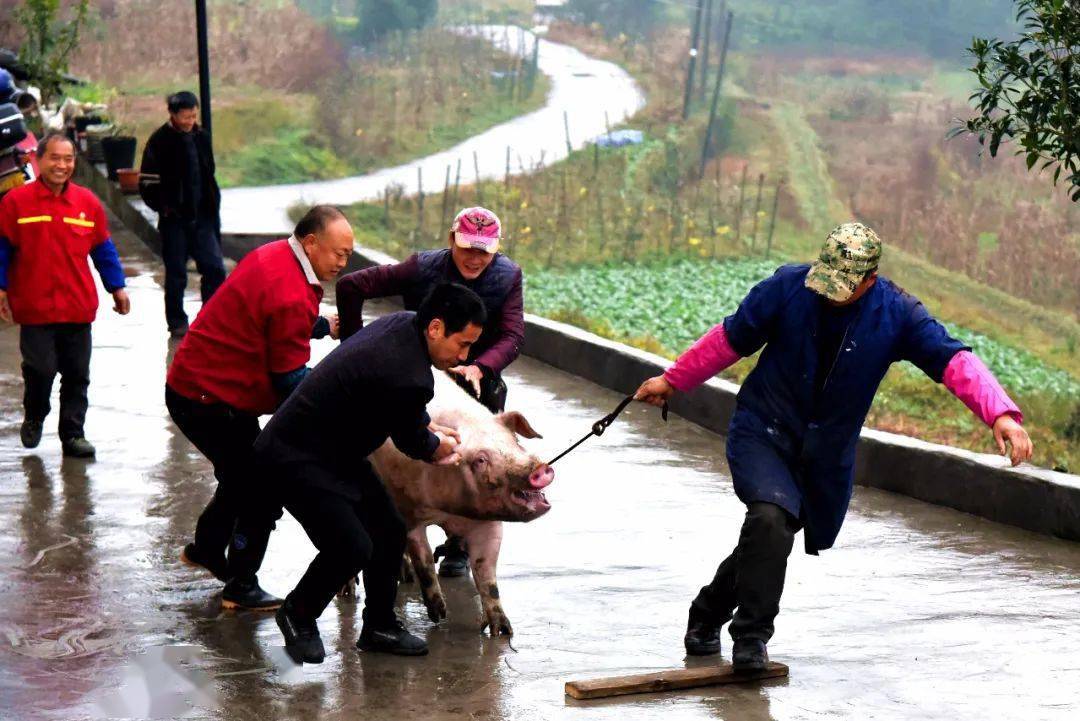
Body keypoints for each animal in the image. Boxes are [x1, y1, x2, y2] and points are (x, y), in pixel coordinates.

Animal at [362, 371, 552, 634]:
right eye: (481, 459)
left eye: (515, 442)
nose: (538, 468)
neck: (449, 511)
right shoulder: (408, 512)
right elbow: (424, 561)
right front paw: (439, 616)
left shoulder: (488, 524)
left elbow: (487, 574)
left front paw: (502, 631)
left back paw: (406, 576)